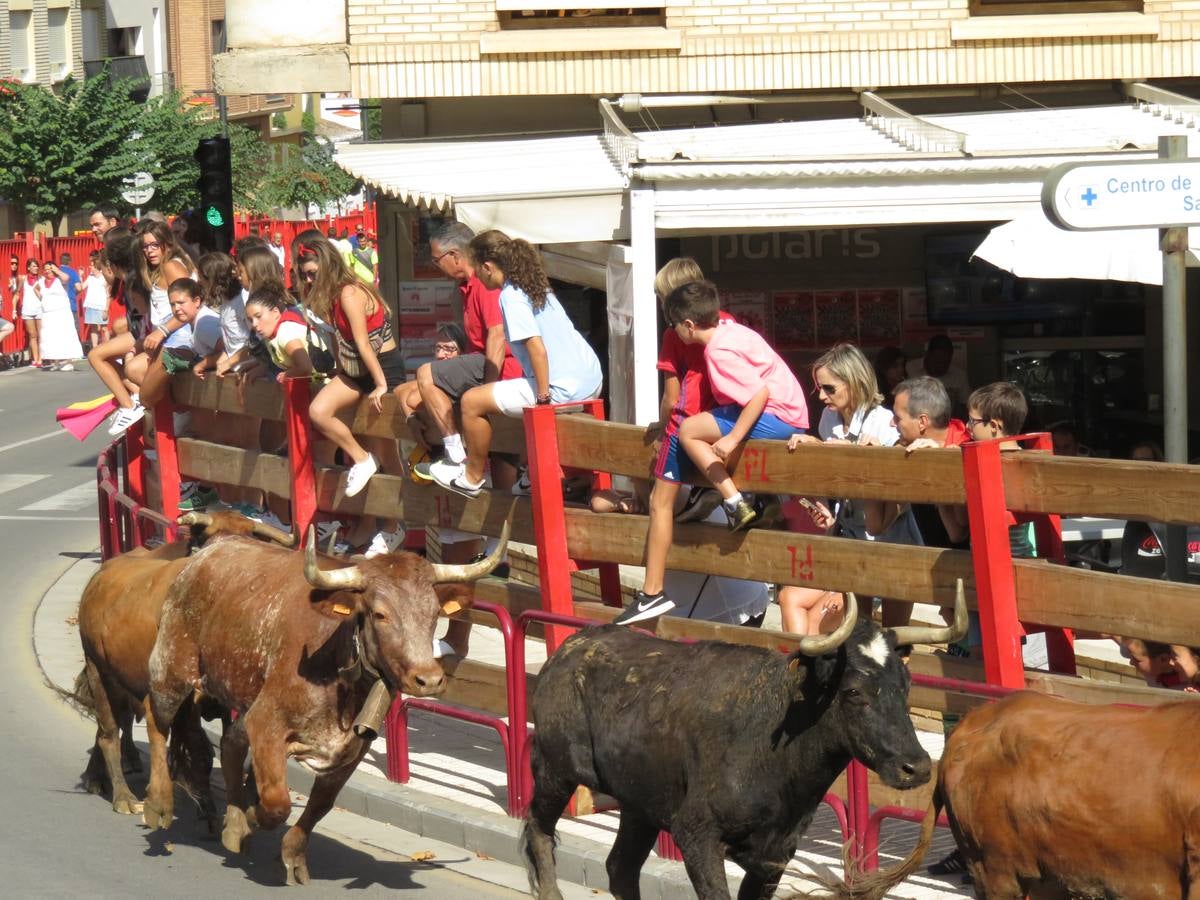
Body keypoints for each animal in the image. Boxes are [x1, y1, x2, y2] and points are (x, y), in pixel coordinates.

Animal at [78, 513, 292, 816]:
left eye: (250, 541)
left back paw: (99, 776)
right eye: (210, 540)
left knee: (116, 722)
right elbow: (199, 749)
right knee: (108, 731)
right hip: (98, 670)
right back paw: (121, 794)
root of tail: (104, 574)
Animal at [147, 520, 508, 888]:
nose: (429, 679)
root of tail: (207, 552)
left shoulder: (352, 746)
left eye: (434, 613)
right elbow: (277, 802)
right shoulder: (266, 720)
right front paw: (253, 814)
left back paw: (233, 827)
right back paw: (159, 802)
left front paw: (291, 854)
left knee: (231, 743)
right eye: (380, 614)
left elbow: (321, 804)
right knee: (156, 722)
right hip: (170, 670)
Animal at [520, 585, 969, 900]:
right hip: (554, 770)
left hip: (639, 804)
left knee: (621, 869)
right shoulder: (696, 834)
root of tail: (569, 649)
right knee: (538, 829)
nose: (917, 766)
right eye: (854, 691)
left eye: (905, 685)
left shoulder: (775, 854)